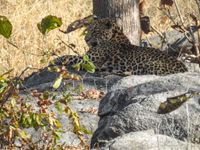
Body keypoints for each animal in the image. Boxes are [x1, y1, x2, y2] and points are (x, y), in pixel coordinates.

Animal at [53, 16, 188, 75]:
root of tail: (185, 69)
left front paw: (57, 58)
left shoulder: (90, 60)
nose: (86, 39)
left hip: (151, 65)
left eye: (95, 31)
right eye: (88, 30)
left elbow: (72, 57)